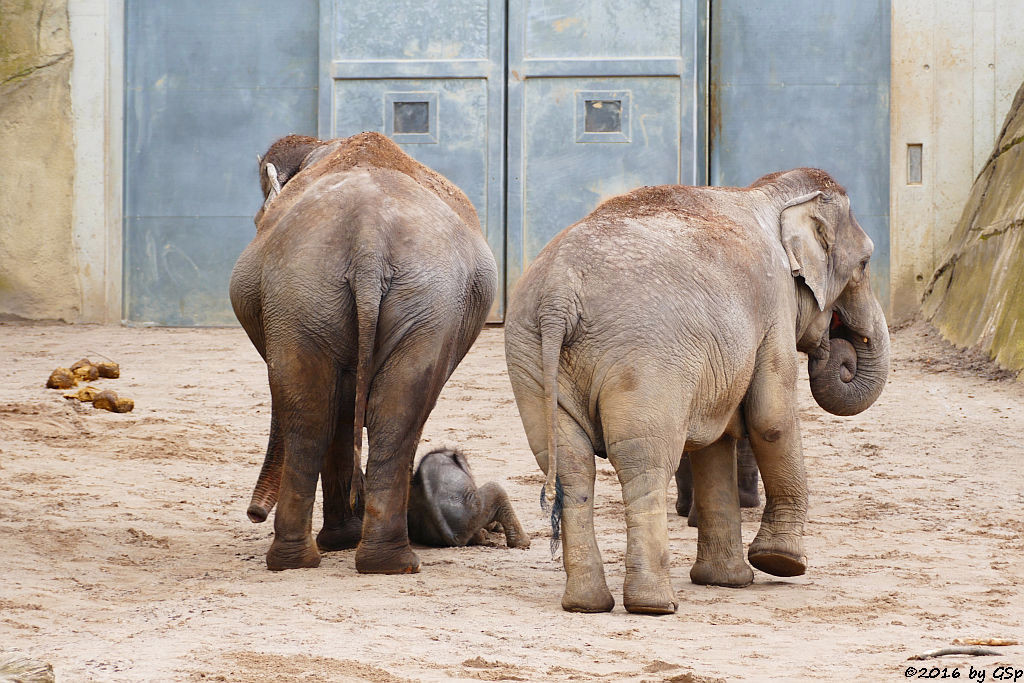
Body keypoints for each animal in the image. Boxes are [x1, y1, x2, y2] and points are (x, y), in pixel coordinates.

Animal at [233, 131, 503, 573]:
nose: (253, 515)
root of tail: (368, 236)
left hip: (325, 295)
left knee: (324, 413)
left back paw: (331, 557)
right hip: (347, 294)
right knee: (366, 413)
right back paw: (366, 556)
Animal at [503, 169, 888, 614]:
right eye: (865, 263)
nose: (837, 351)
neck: (769, 193)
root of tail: (558, 296)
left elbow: (717, 441)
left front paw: (726, 581)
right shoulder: (773, 306)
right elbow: (771, 421)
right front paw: (782, 564)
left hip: (529, 356)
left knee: (571, 464)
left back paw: (588, 604)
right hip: (645, 361)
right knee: (644, 462)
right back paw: (654, 605)